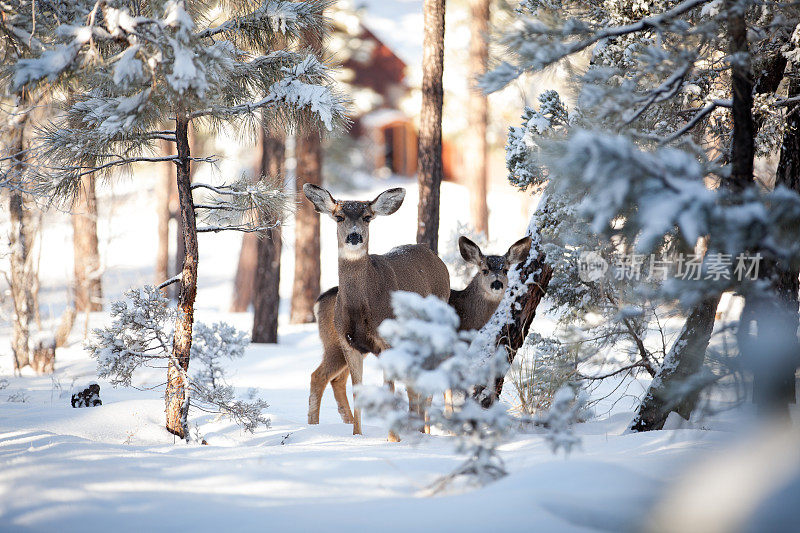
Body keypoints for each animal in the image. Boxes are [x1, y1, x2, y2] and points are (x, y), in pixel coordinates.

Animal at [304, 184, 450, 436]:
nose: (354, 236)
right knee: (323, 376)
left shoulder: (388, 342)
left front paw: (393, 439)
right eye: (339, 217)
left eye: (367, 217)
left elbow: (391, 389)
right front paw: (357, 435)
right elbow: (359, 389)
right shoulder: (348, 342)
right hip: (335, 345)